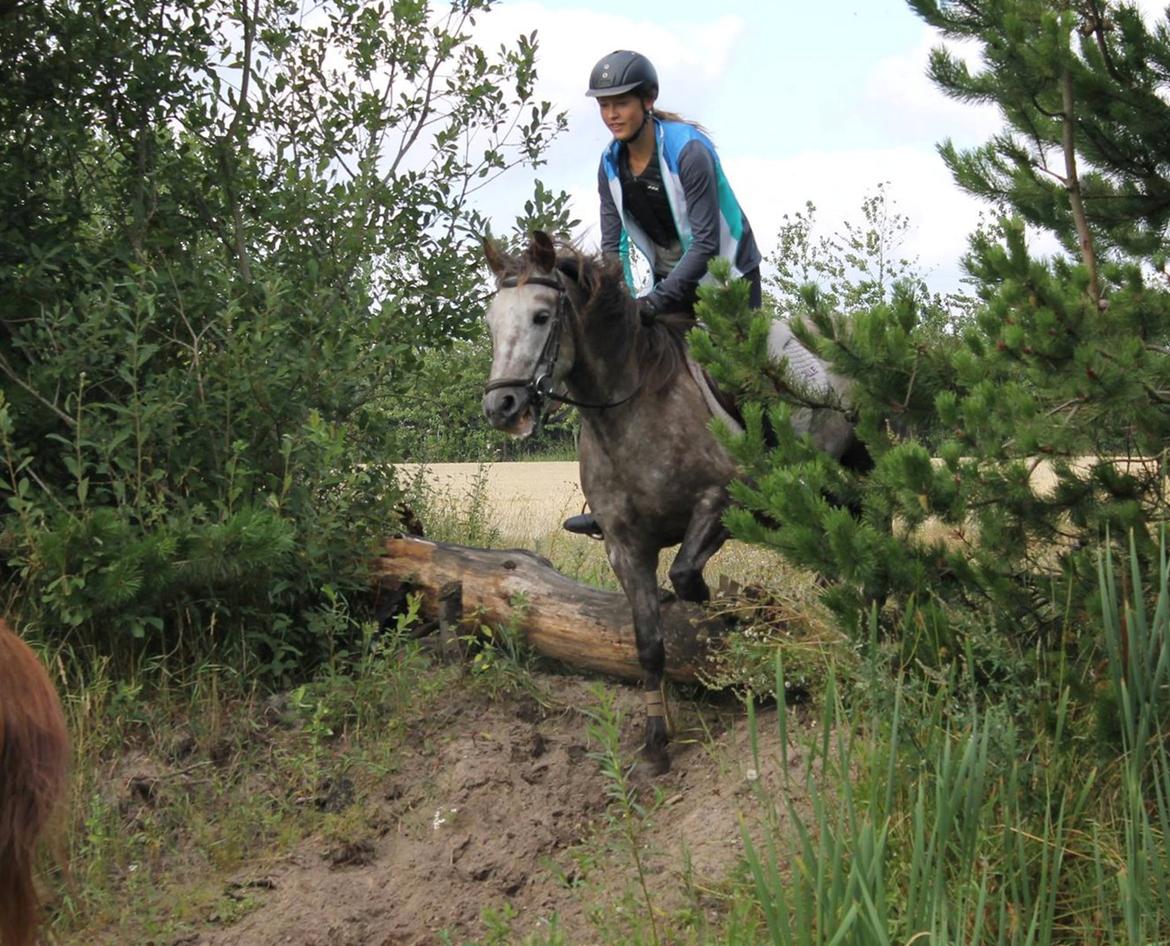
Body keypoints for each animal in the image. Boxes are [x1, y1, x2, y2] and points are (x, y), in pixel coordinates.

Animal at [482, 232, 861, 771]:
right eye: (491, 322)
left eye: (540, 316)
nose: (502, 407)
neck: (629, 415)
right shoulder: (624, 547)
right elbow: (649, 644)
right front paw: (657, 740)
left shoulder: (718, 504)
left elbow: (686, 578)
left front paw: (734, 617)